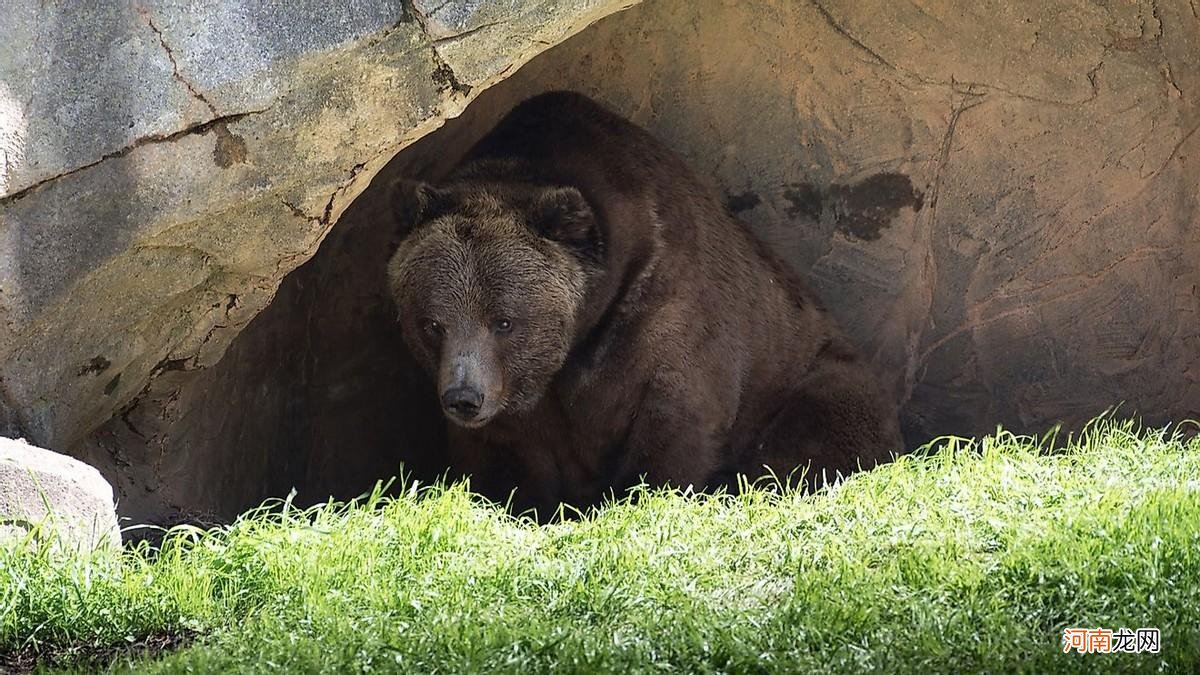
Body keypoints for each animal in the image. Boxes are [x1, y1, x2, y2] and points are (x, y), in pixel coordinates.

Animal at [384, 90, 902, 514]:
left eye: (505, 321)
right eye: (432, 323)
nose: (463, 397)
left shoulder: (663, 308)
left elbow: (676, 417)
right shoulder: (514, 404)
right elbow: (499, 459)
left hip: (813, 370)